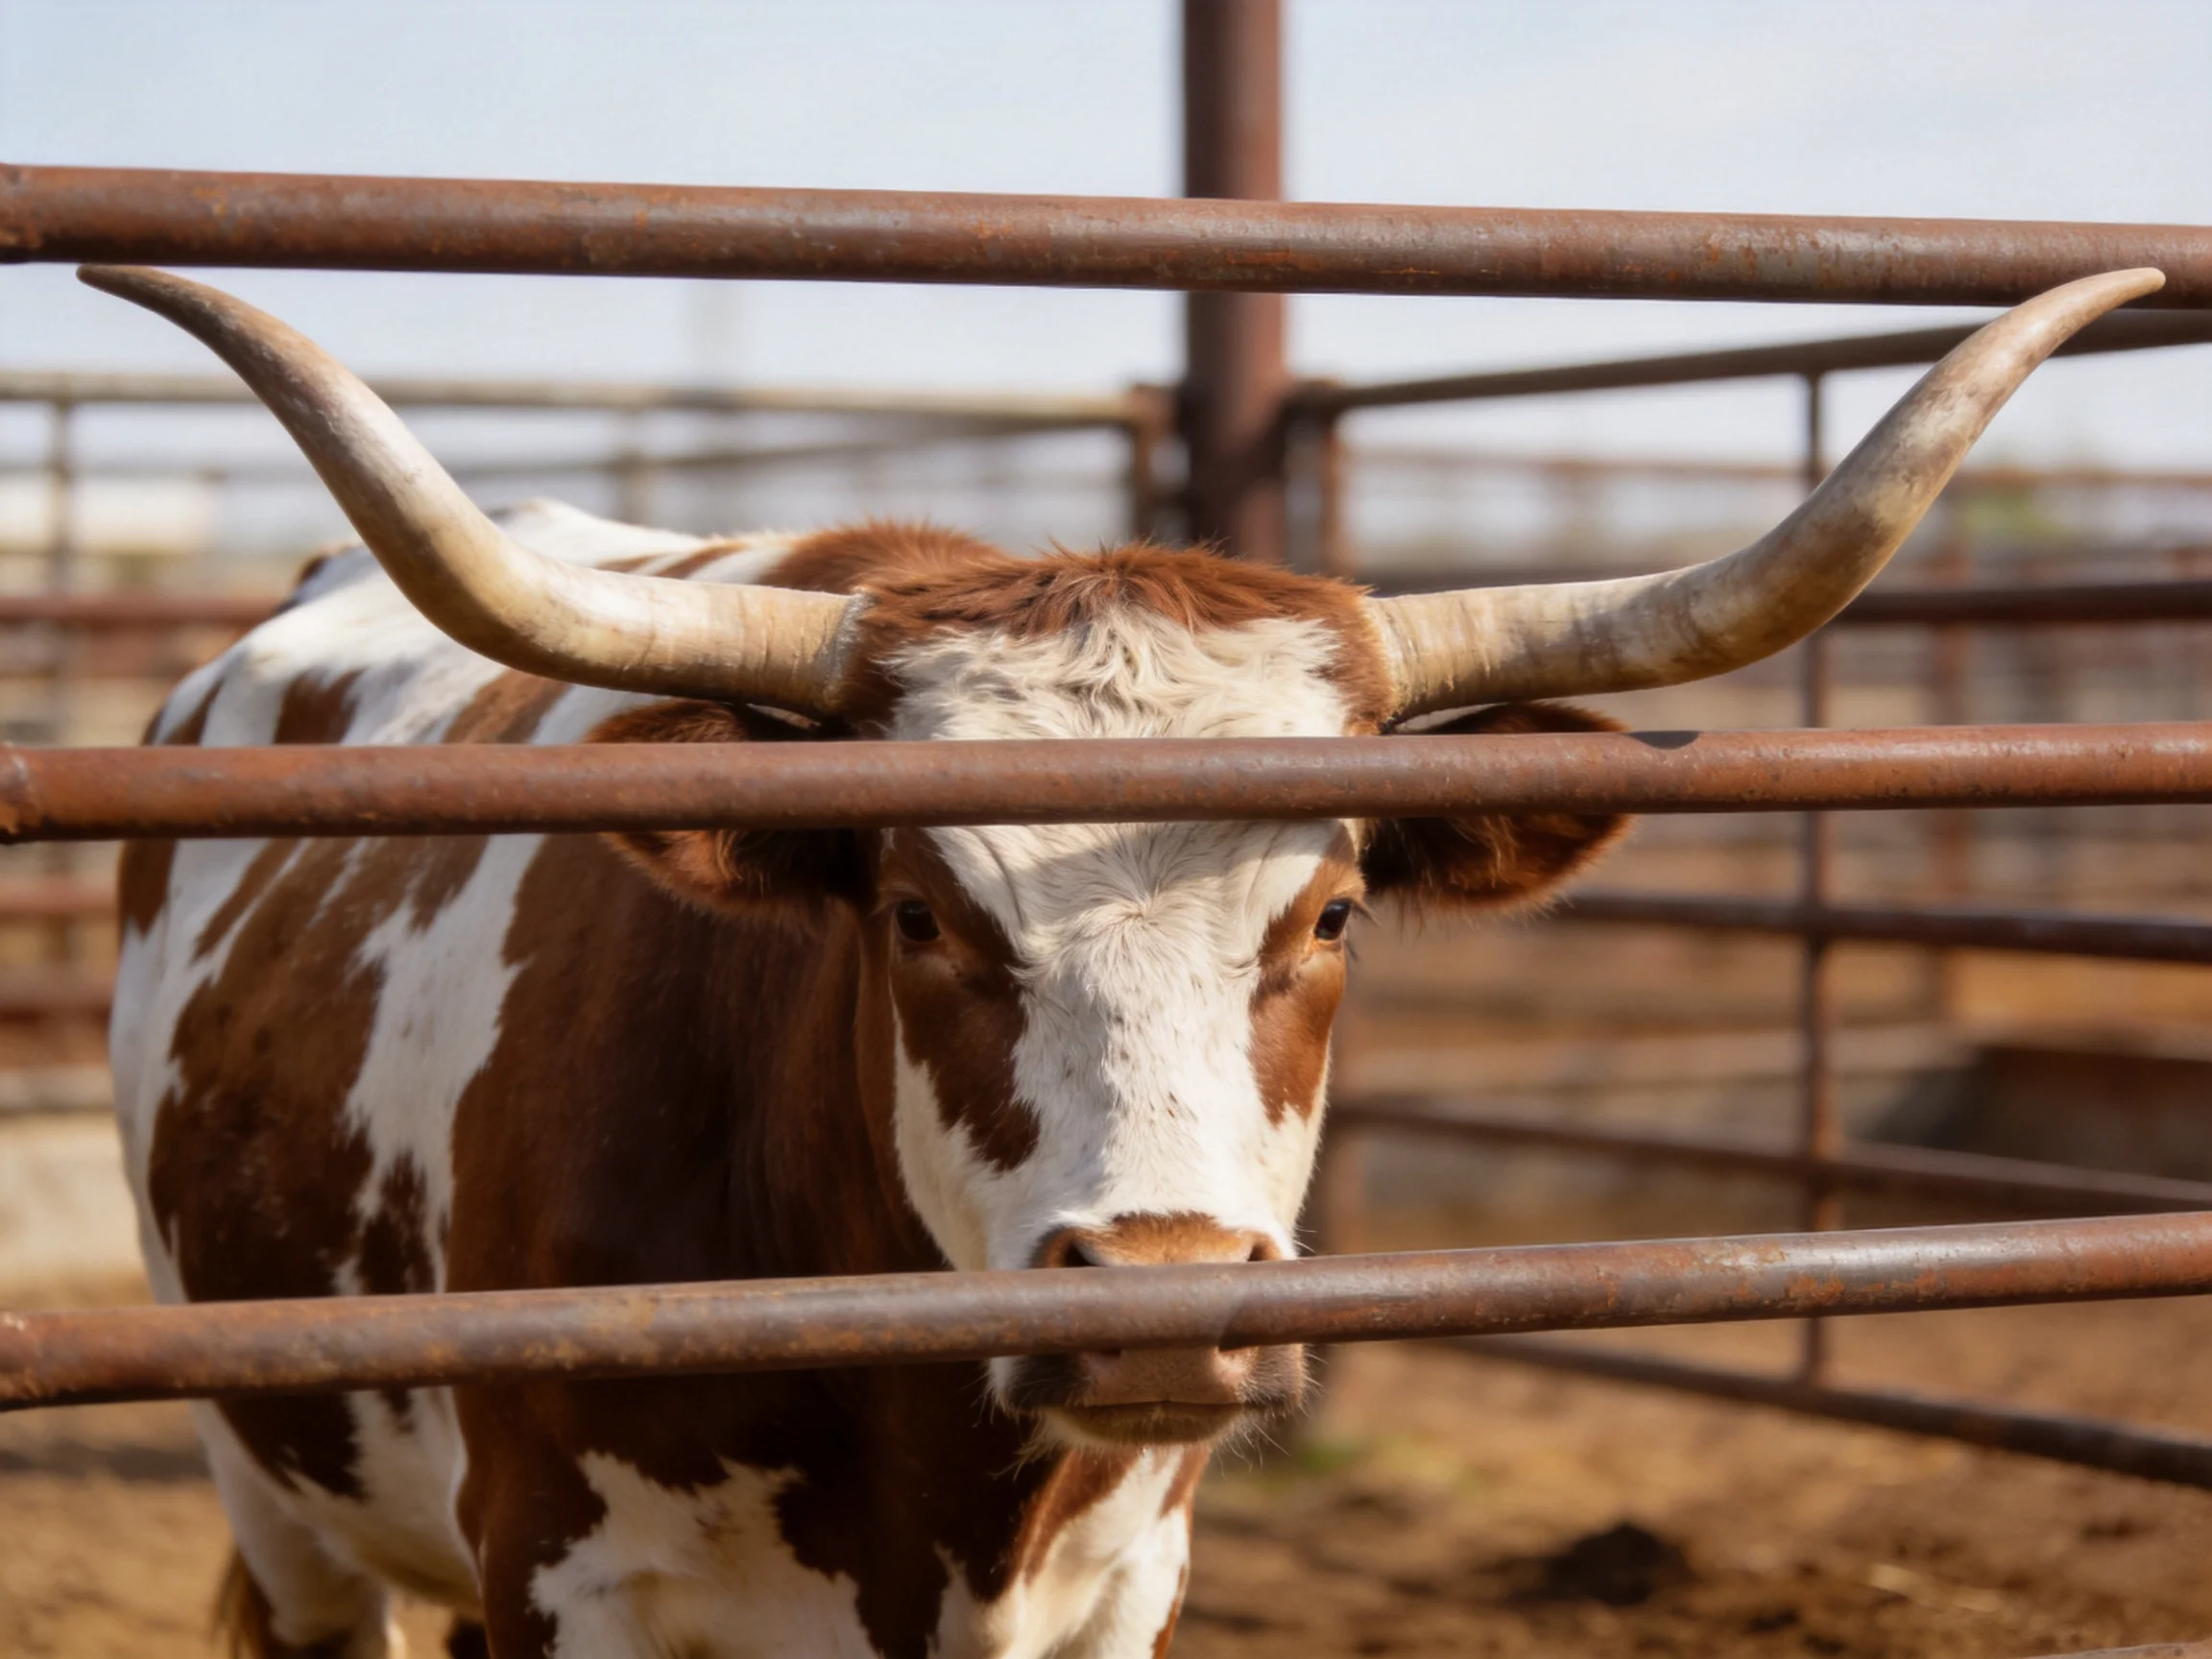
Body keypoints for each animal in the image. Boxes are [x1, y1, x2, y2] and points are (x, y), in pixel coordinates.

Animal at [94, 262, 2155, 1659]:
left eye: (1328, 912)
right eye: (918, 911)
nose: (1162, 1300)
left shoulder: (1117, 1587)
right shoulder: (563, 1572)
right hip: (276, 1489)